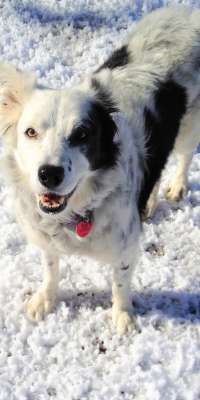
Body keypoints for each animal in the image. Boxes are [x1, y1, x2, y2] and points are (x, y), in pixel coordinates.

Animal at [0, 7, 200, 334]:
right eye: (30, 132)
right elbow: (50, 267)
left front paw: (123, 316)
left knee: (184, 155)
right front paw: (45, 299)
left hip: (189, 127)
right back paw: (149, 201)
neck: (77, 213)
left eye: (82, 134)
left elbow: (120, 283)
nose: (49, 174)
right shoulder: (47, 239)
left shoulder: (126, 246)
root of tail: (187, 10)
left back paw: (177, 186)